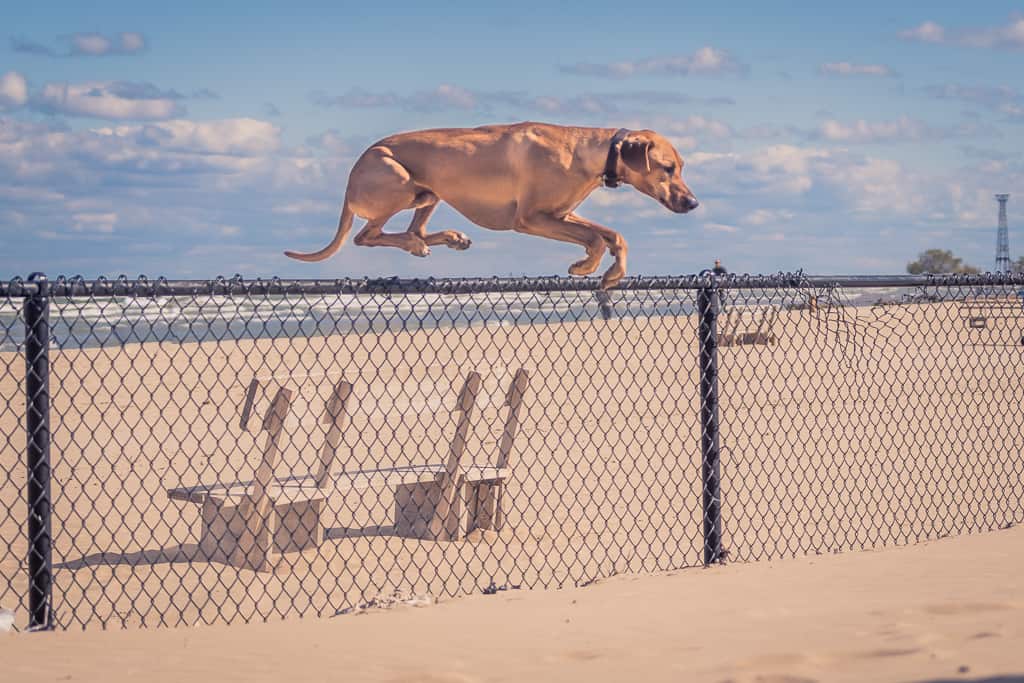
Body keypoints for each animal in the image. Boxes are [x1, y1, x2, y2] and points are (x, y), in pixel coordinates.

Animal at [282, 122, 696, 288]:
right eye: (668, 168)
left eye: (681, 167)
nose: (693, 202)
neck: (586, 151)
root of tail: (351, 175)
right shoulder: (531, 218)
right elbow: (595, 239)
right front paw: (586, 265)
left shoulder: (562, 213)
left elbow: (614, 235)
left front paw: (612, 271)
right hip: (397, 181)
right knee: (367, 235)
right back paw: (418, 244)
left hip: (429, 192)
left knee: (412, 228)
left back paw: (447, 238)